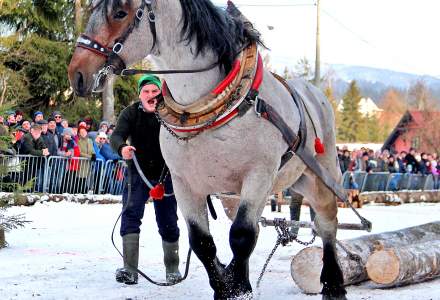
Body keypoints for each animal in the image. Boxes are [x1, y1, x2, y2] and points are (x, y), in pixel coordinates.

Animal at [68, 1, 348, 298]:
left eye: (120, 13)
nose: (77, 73)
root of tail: (314, 93)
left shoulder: (259, 175)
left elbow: (241, 235)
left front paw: (238, 287)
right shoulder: (184, 183)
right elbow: (202, 241)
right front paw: (226, 284)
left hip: (320, 173)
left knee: (326, 220)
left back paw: (333, 283)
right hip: (291, 180)